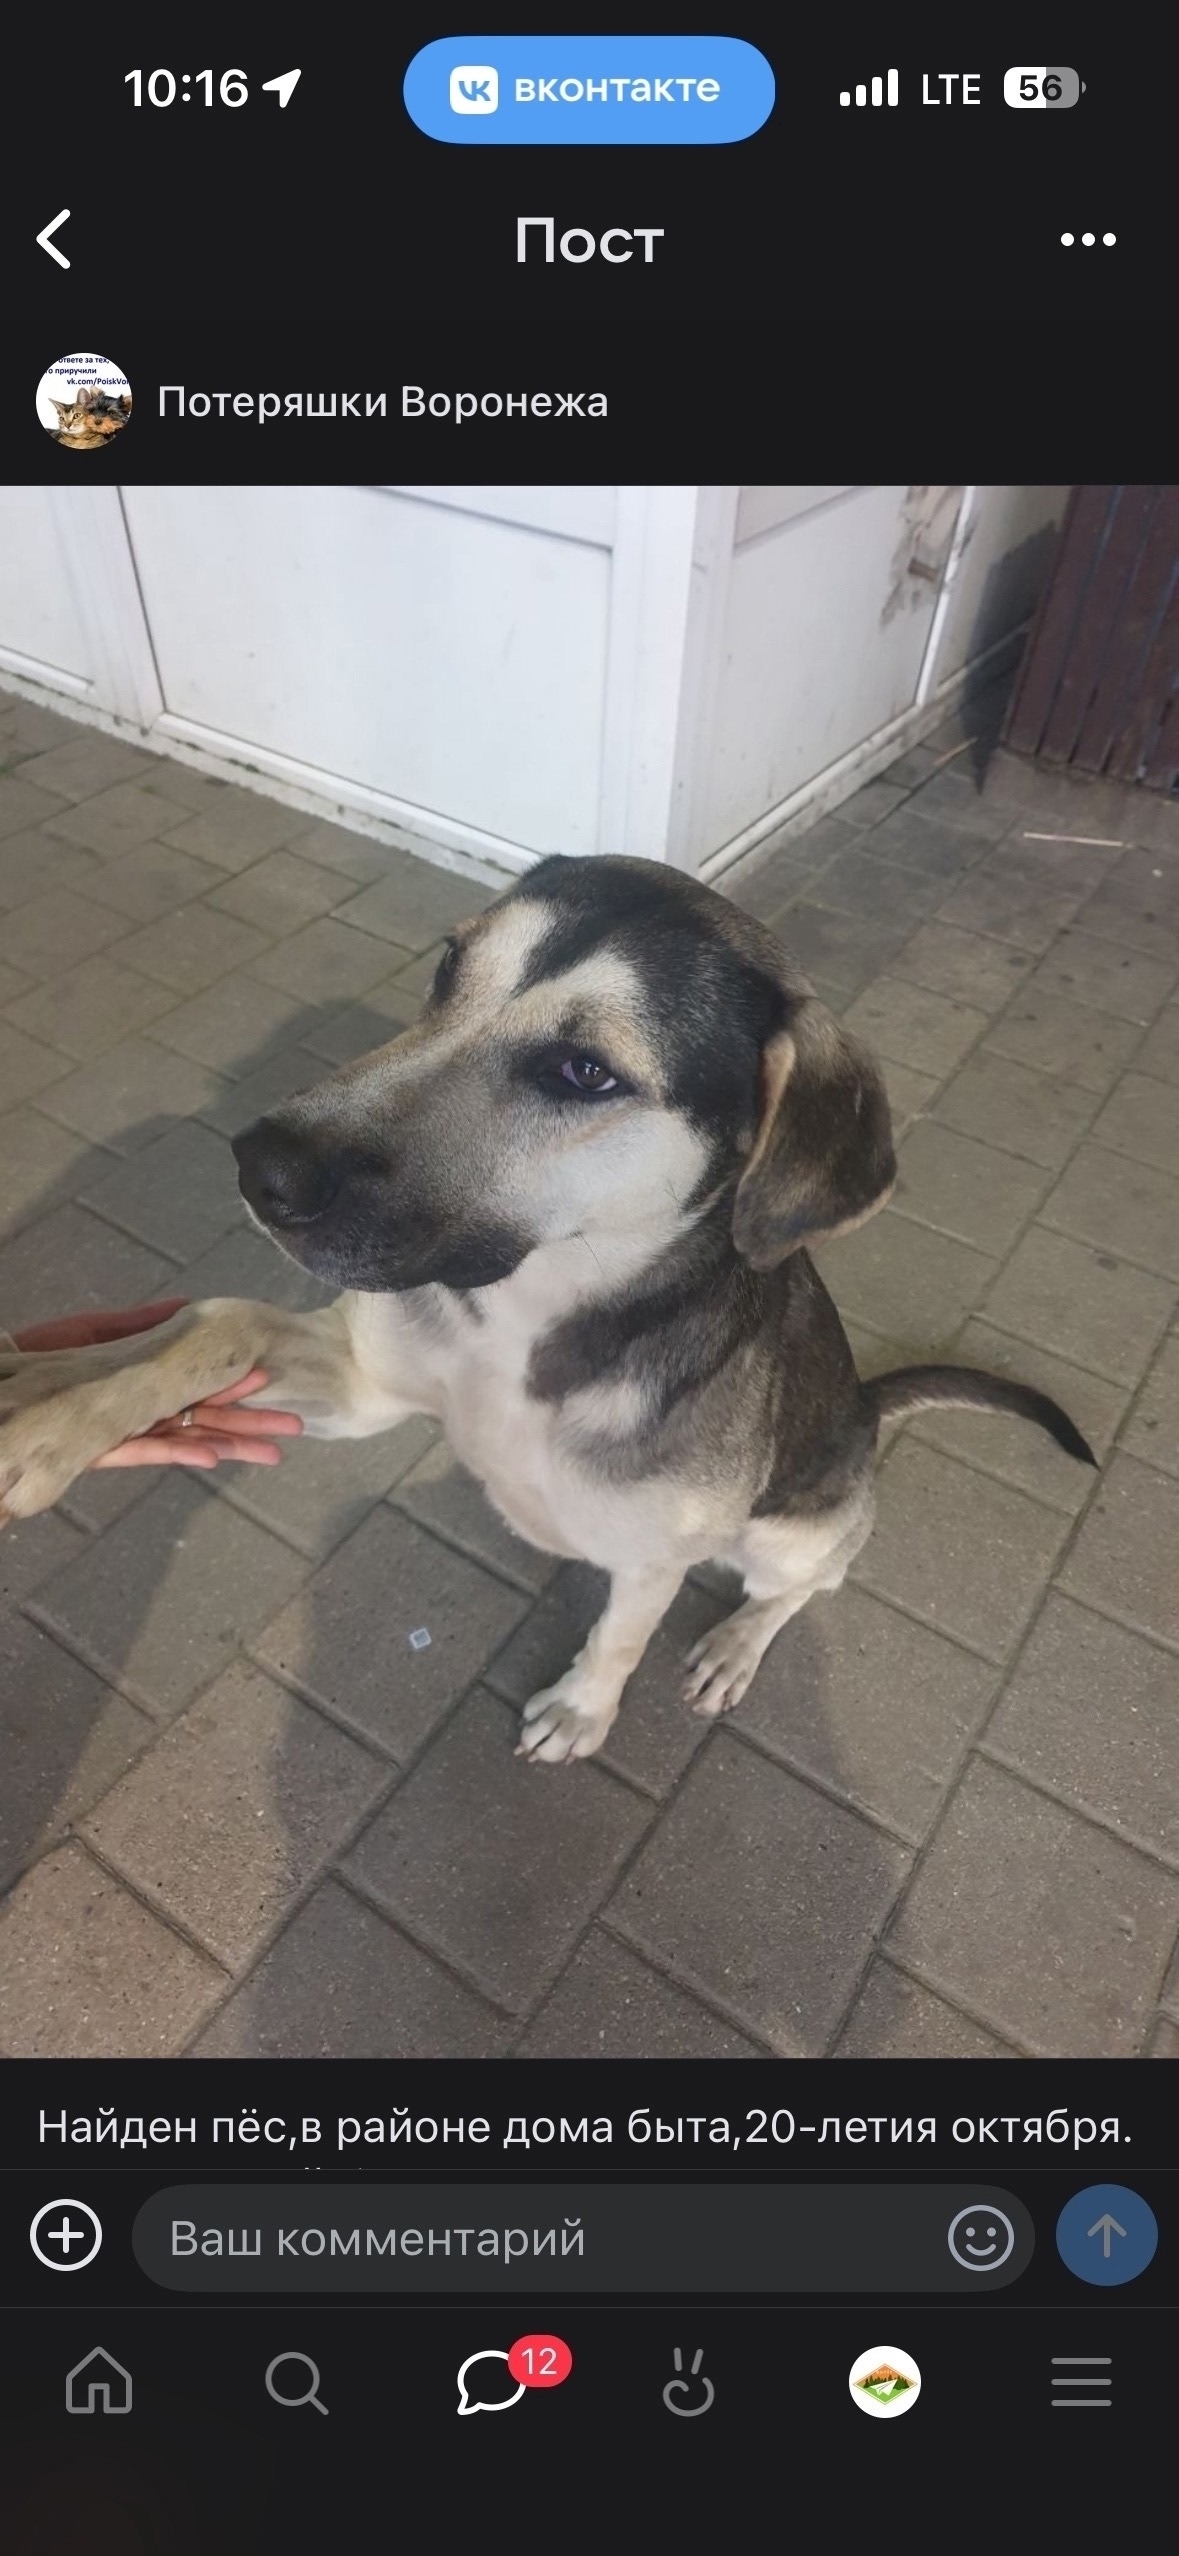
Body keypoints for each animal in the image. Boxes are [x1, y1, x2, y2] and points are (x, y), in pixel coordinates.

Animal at [0, 853, 1095, 1763]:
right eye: (447, 970)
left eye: (585, 1072)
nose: (261, 1170)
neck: (528, 1312)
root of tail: (867, 1405)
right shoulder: (363, 1384)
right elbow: (206, 1326)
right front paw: (51, 1407)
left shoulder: (652, 1554)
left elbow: (619, 1635)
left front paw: (580, 1710)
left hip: (793, 1530)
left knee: (805, 1586)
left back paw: (735, 1644)